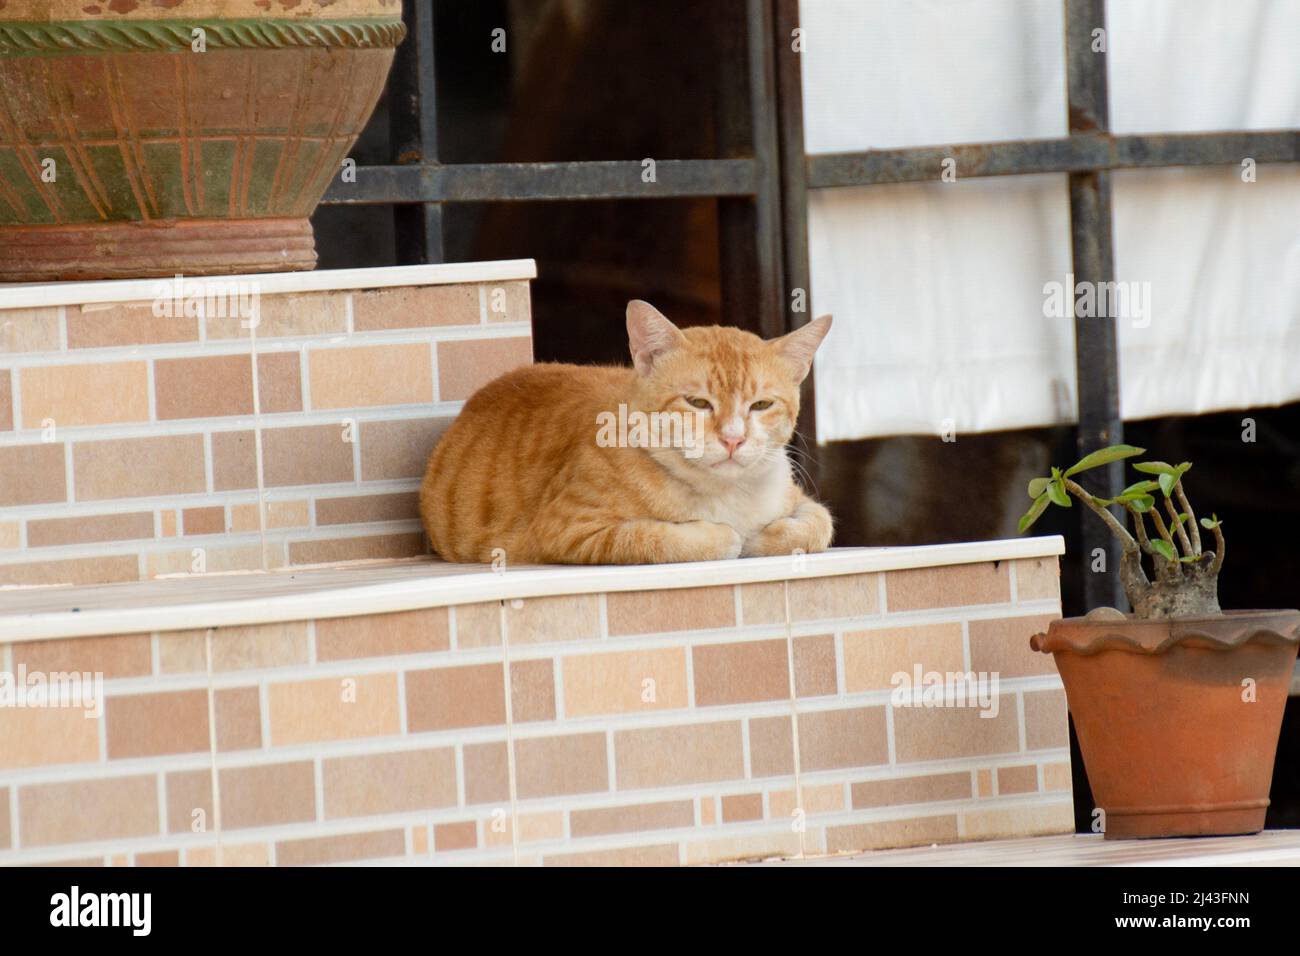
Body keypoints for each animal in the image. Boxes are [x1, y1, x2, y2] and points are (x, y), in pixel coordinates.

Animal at [421, 303, 837, 564]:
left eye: (761, 405)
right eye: (698, 403)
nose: (733, 438)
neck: (725, 493)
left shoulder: (800, 500)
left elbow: (818, 524)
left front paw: (763, 537)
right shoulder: (569, 530)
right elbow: (654, 537)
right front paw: (728, 537)